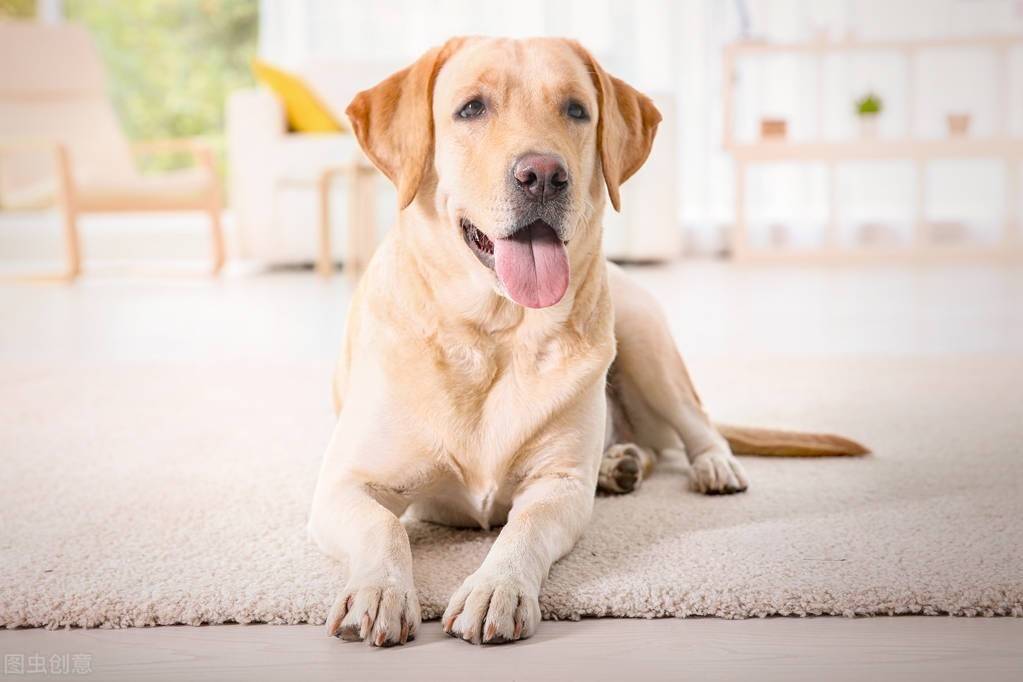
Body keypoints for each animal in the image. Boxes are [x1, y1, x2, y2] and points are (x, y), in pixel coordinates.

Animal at [306, 36, 867, 646]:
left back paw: (707, 466)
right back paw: (619, 464)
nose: (543, 174)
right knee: (648, 447)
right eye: (471, 108)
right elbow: (384, 526)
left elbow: (523, 528)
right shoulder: (342, 485)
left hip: (646, 339)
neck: (495, 335)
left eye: (576, 110)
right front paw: (379, 590)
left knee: (698, 424)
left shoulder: (561, 488)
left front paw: (495, 588)